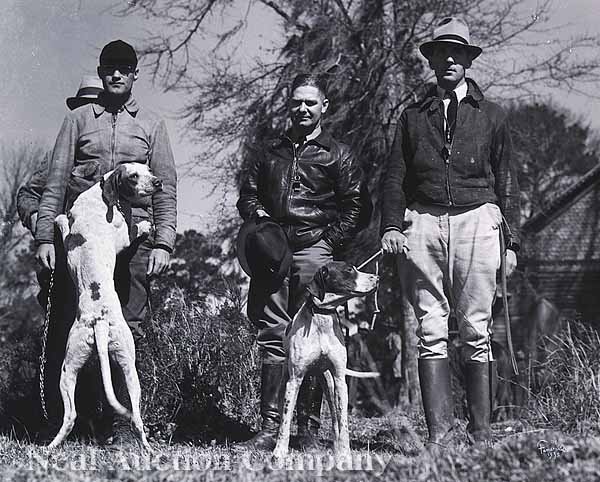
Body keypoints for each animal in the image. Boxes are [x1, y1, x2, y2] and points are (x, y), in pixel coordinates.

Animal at [48, 164, 162, 450]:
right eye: (134, 176)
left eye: (148, 169)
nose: (158, 182)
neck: (100, 197)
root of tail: (99, 321)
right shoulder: (122, 238)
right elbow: (132, 231)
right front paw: (145, 224)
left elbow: (63, 222)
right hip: (129, 368)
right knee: (136, 417)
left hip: (69, 369)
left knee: (70, 416)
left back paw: (52, 445)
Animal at [274, 262, 378, 462]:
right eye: (348, 270)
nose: (377, 278)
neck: (322, 319)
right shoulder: (294, 381)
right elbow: (285, 420)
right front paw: (279, 452)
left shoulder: (340, 381)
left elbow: (343, 423)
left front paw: (345, 454)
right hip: (286, 381)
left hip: (330, 386)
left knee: (336, 420)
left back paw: (337, 448)